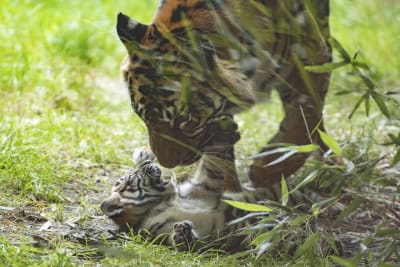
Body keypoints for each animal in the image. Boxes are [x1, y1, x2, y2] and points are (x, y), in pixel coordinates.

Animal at [117, 0, 332, 193]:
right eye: (143, 119)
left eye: (183, 121)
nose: (168, 164)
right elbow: (221, 152)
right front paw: (227, 192)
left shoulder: (313, 55)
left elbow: (305, 116)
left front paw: (267, 170)